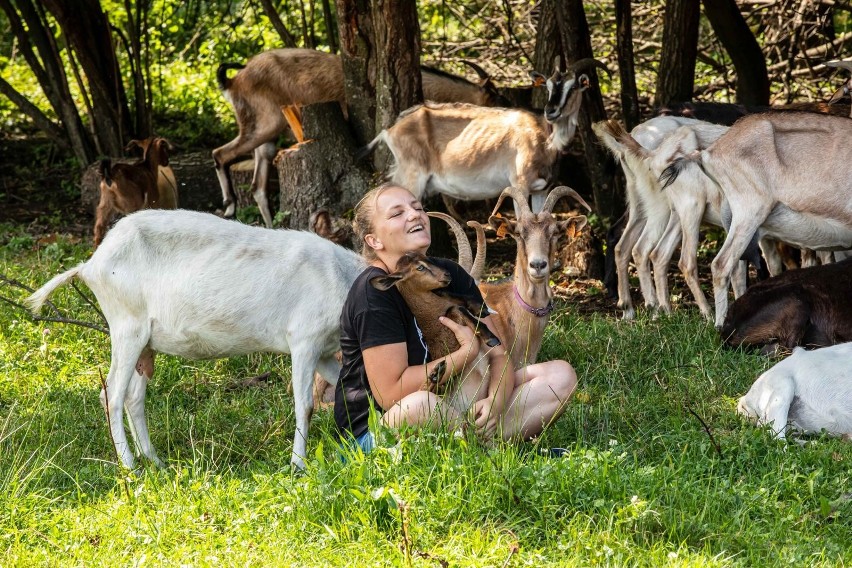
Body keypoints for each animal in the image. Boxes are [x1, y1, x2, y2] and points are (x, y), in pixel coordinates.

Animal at [25, 209, 366, 470]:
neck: (341, 277)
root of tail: (89, 265)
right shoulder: (304, 340)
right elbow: (305, 405)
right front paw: (298, 464)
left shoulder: (324, 353)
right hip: (126, 328)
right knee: (111, 395)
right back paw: (130, 467)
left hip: (144, 343)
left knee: (134, 396)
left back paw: (155, 461)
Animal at [356, 58, 608, 215]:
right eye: (547, 86)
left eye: (572, 87)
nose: (551, 111)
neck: (544, 135)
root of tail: (390, 130)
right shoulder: (519, 185)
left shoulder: (541, 189)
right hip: (412, 177)